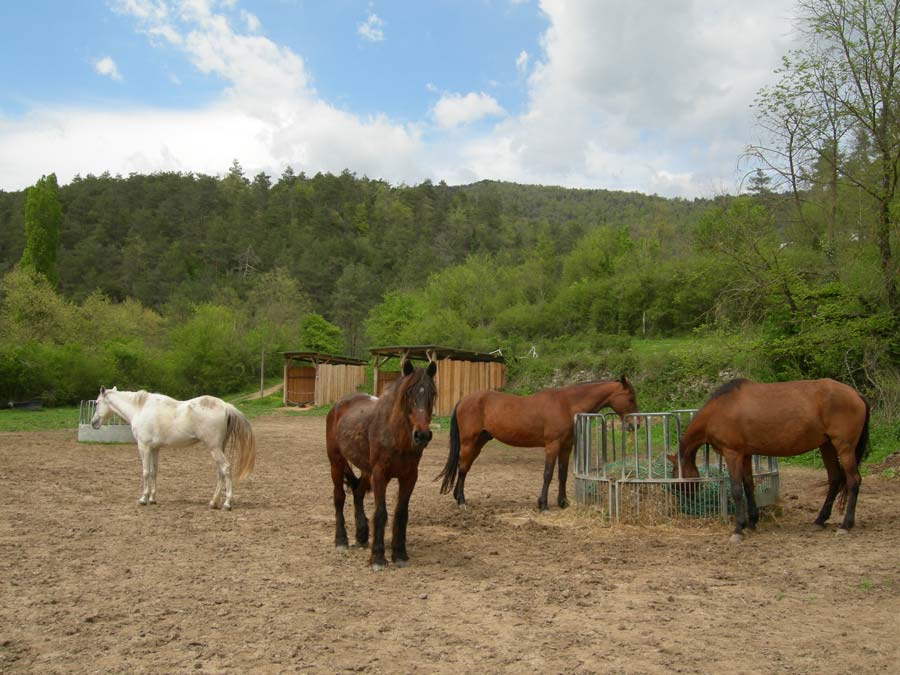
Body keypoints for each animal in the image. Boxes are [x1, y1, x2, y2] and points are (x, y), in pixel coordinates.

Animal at [92, 388, 256, 510]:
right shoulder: (155, 449)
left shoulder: (144, 447)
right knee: (220, 472)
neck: (140, 408)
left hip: (214, 448)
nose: (93, 423)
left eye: (97, 403)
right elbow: (154, 472)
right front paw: (153, 498)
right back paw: (213, 502)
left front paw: (143, 499)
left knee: (226, 468)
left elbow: (145, 472)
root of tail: (225, 406)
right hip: (218, 448)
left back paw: (227, 504)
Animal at [326, 360, 438, 572]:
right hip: (336, 463)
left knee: (358, 493)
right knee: (339, 498)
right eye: (408, 394)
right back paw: (341, 540)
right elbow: (381, 513)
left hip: (365, 470)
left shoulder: (409, 476)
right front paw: (378, 557)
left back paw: (361, 536)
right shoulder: (380, 474)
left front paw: (400, 554)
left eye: (433, 394)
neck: (396, 435)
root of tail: (337, 405)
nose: (422, 435)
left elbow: (401, 513)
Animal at [438, 374, 640, 512]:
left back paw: (458, 497)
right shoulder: (552, 446)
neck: (567, 404)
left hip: (479, 442)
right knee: (463, 468)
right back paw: (461, 500)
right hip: (469, 442)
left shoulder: (566, 447)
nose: (635, 425)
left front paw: (563, 502)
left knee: (464, 468)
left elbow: (562, 474)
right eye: (630, 398)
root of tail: (463, 400)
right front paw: (543, 504)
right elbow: (548, 474)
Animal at [680, 380, 868, 544]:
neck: (721, 408)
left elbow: (736, 490)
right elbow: (748, 486)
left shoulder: (732, 454)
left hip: (844, 448)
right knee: (835, 479)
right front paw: (751, 522)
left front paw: (738, 529)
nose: (686, 499)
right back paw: (820, 520)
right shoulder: (745, 455)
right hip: (826, 446)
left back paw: (845, 525)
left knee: (853, 481)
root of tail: (856, 395)